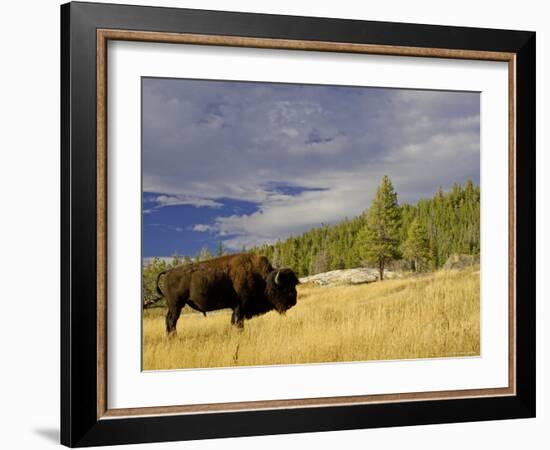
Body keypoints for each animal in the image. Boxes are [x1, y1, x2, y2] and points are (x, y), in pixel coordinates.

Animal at [153, 253, 300, 334]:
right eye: (283, 288)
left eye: (293, 285)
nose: (293, 302)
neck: (262, 278)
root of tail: (169, 272)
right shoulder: (240, 307)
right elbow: (238, 323)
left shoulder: (235, 308)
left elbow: (234, 322)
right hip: (176, 305)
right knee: (172, 321)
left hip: (174, 306)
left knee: (169, 321)